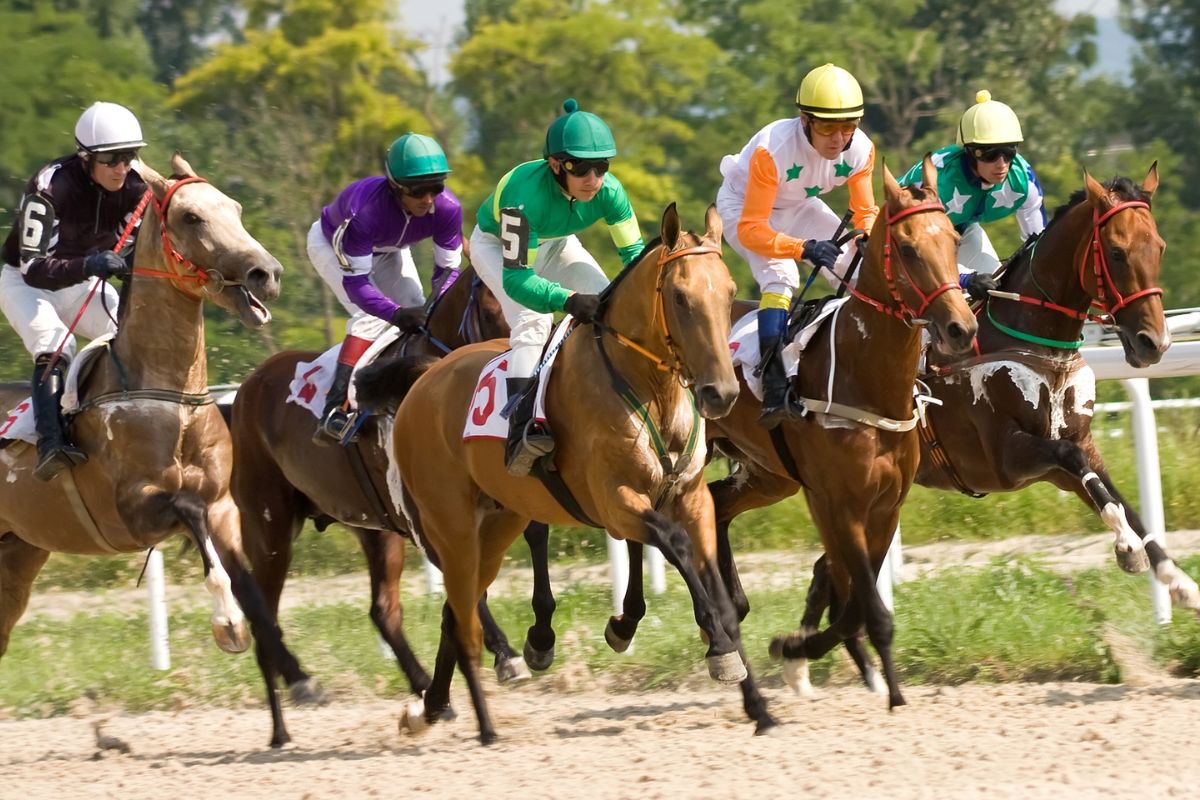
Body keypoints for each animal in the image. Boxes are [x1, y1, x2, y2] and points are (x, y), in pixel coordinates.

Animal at [0, 154, 302, 726]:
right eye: (191, 217)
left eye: (235, 208)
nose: (267, 274)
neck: (170, 395)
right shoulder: (134, 510)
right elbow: (190, 514)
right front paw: (227, 624)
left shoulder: (224, 504)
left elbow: (250, 582)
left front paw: (297, 675)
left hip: (18, 553)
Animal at [227, 266, 539, 748]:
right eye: (490, 309)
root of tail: (248, 388)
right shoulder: (427, 520)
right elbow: (468, 588)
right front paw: (506, 655)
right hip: (270, 525)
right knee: (264, 611)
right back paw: (287, 717)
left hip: (372, 527)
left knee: (382, 610)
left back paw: (425, 690)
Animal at [358, 203, 774, 743]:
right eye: (681, 298)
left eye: (727, 292)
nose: (720, 393)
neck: (648, 387)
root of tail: (425, 376)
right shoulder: (616, 503)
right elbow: (675, 545)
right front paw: (717, 651)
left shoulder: (692, 499)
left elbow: (720, 596)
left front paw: (757, 704)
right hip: (450, 524)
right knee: (464, 610)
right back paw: (483, 721)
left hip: (497, 523)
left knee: (457, 608)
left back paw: (432, 706)